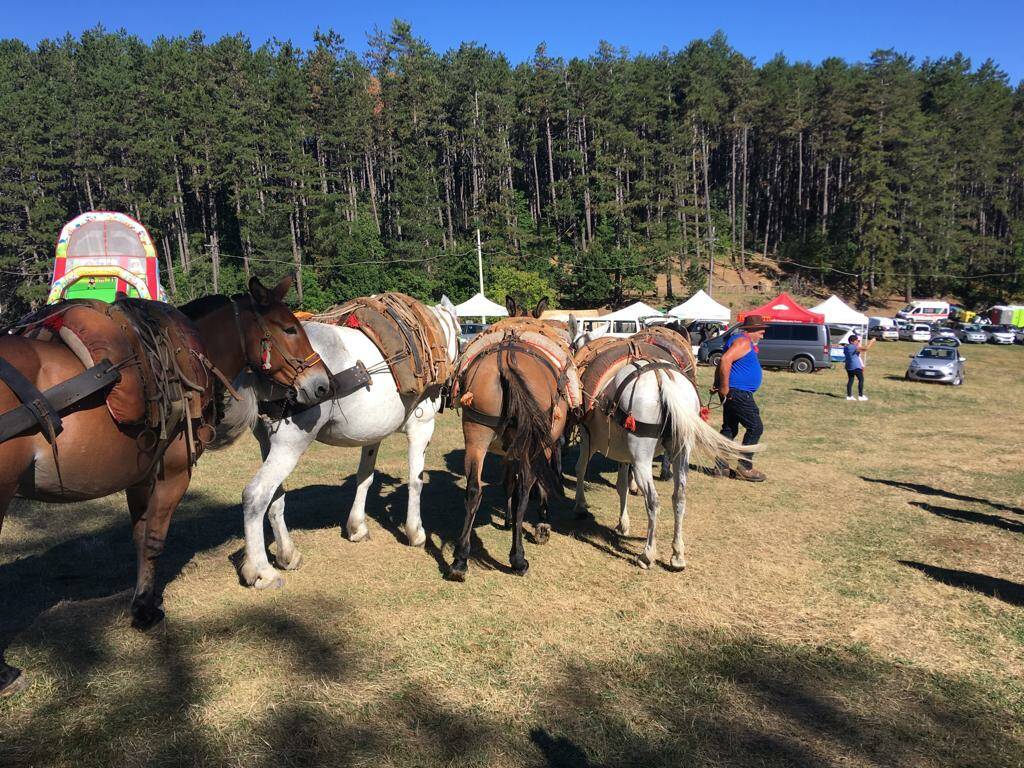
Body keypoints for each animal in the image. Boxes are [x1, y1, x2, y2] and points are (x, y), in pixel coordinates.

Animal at [0, 276, 327, 696]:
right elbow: (155, 538)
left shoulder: (142, 475)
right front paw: (144, 609)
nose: (323, 385)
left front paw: (144, 596)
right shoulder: (174, 472)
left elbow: (140, 537)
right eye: (289, 328)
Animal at [232, 296, 460, 589]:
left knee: (275, 498)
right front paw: (415, 532)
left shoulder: (373, 434)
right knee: (255, 495)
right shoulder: (422, 427)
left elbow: (365, 477)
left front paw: (357, 526)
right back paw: (262, 571)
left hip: (268, 443)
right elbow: (415, 481)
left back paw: (287, 554)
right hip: (289, 444)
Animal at [450, 296, 577, 581]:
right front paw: (542, 519)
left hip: (476, 433)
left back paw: (460, 560)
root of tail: (506, 361)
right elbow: (534, 481)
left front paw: (506, 518)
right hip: (531, 443)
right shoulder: (545, 444)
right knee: (524, 488)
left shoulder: (509, 448)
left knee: (473, 489)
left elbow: (508, 480)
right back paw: (518, 558)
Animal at [573, 342, 757, 573]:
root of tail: (663, 378)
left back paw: (647, 554)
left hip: (642, 458)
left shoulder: (588, 440)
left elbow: (581, 470)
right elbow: (622, 486)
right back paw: (677, 555)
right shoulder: (625, 456)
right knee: (679, 497)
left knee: (653, 501)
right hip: (680, 453)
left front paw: (580, 506)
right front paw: (623, 524)